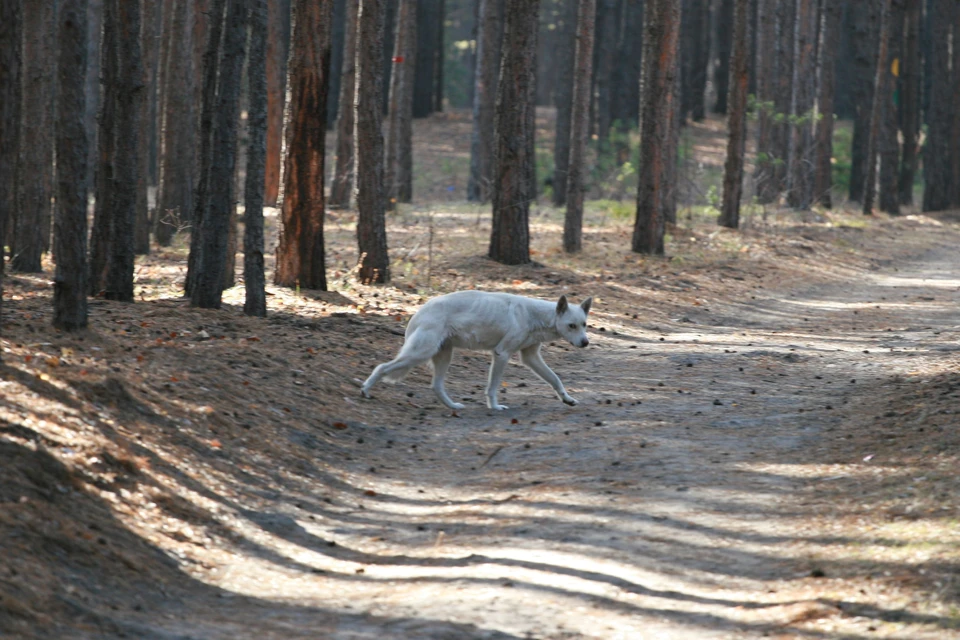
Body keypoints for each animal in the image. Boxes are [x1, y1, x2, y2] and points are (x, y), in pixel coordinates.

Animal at [362, 294, 592, 412]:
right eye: (571, 326)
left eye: (584, 324)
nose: (585, 343)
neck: (534, 316)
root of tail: (418, 312)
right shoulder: (502, 354)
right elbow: (493, 387)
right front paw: (495, 407)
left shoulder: (530, 357)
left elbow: (555, 380)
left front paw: (568, 400)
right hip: (419, 354)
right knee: (381, 367)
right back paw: (365, 390)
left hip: (444, 356)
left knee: (436, 386)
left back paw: (453, 406)